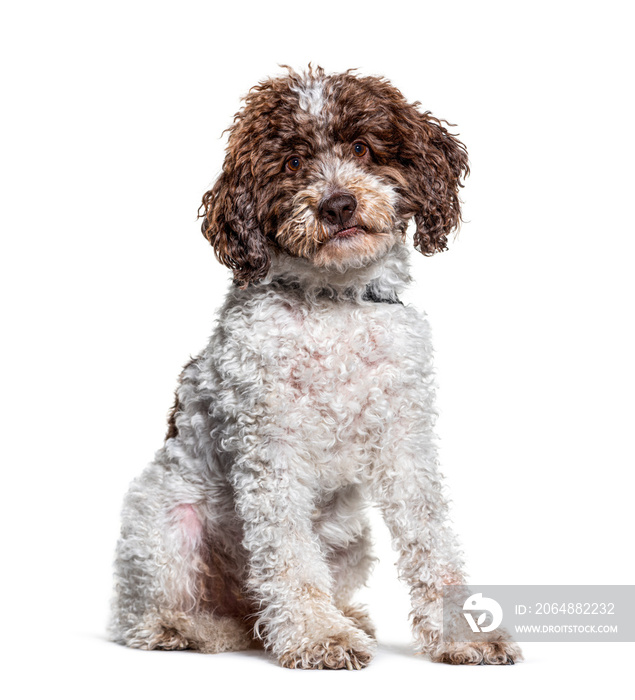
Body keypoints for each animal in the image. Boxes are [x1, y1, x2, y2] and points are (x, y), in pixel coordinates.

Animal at [112, 68, 524, 668]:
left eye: (361, 147)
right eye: (290, 163)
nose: (337, 205)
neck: (336, 303)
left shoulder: (405, 439)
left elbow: (430, 538)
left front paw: (463, 635)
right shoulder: (271, 447)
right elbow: (286, 552)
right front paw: (316, 636)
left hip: (351, 536)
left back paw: (338, 616)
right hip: (164, 526)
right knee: (143, 617)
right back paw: (191, 630)